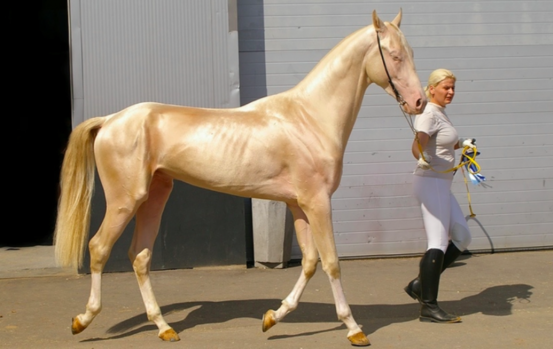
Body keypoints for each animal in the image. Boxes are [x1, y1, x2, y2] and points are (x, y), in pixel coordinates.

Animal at [55, 8, 422, 346]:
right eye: (394, 55)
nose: (418, 102)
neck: (310, 117)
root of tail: (110, 120)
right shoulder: (317, 203)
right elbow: (331, 262)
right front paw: (354, 328)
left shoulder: (299, 206)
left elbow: (309, 262)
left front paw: (273, 317)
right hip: (124, 200)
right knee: (99, 248)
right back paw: (82, 320)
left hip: (155, 196)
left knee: (140, 257)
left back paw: (164, 327)